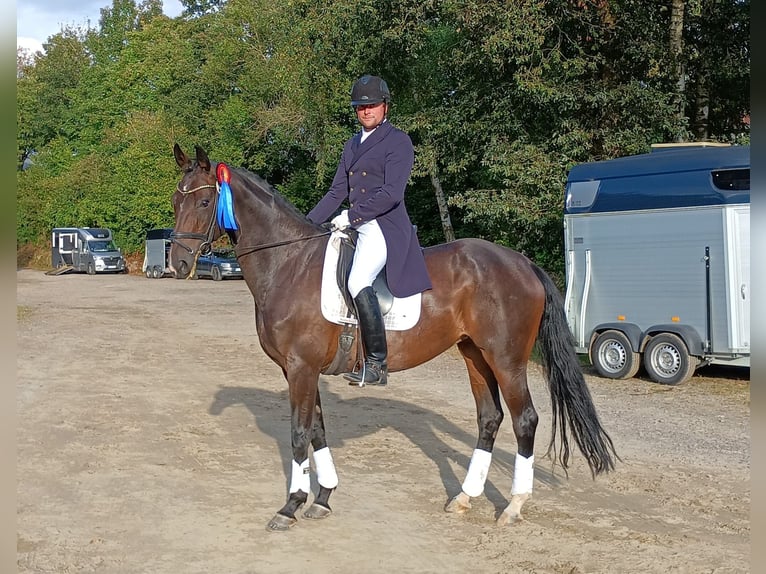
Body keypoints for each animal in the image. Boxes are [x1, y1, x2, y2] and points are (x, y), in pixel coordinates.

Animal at [166, 146, 616, 532]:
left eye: (204, 204)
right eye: (174, 201)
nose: (180, 264)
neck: (289, 262)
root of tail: (521, 263)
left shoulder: (300, 368)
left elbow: (298, 433)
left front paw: (291, 506)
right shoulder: (300, 371)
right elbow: (317, 430)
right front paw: (322, 498)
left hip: (507, 359)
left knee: (525, 421)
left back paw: (513, 507)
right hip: (475, 355)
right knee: (489, 419)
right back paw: (465, 498)